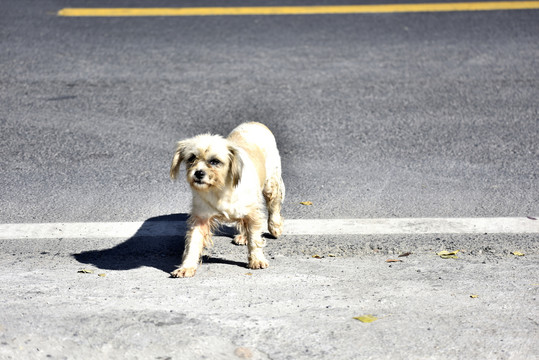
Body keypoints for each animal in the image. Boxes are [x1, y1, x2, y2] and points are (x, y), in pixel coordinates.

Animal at [171, 122, 284, 278]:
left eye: (214, 161)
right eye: (191, 158)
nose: (198, 173)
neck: (220, 189)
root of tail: (253, 123)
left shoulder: (253, 212)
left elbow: (255, 239)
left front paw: (257, 260)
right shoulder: (200, 218)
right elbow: (193, 243)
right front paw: (186, 267)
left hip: (271, 184)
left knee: (273, 205)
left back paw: (275, 226)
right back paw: (243, 236)